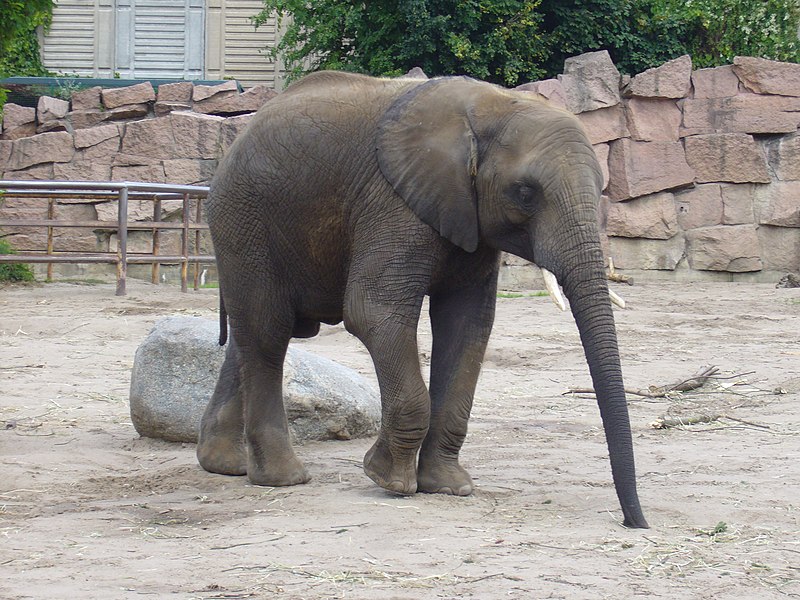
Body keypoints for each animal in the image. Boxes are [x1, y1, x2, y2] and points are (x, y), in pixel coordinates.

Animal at [198, 71, 648, 528]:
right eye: (525, 192)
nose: (635, 521)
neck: (493, 107)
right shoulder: (393, 202)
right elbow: (373, 311)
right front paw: (390, 481)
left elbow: (467, 323)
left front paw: (449, 487)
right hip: (244, 219)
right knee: (268, 332)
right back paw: (283, 478)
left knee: (256, 335)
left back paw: (226, 464)